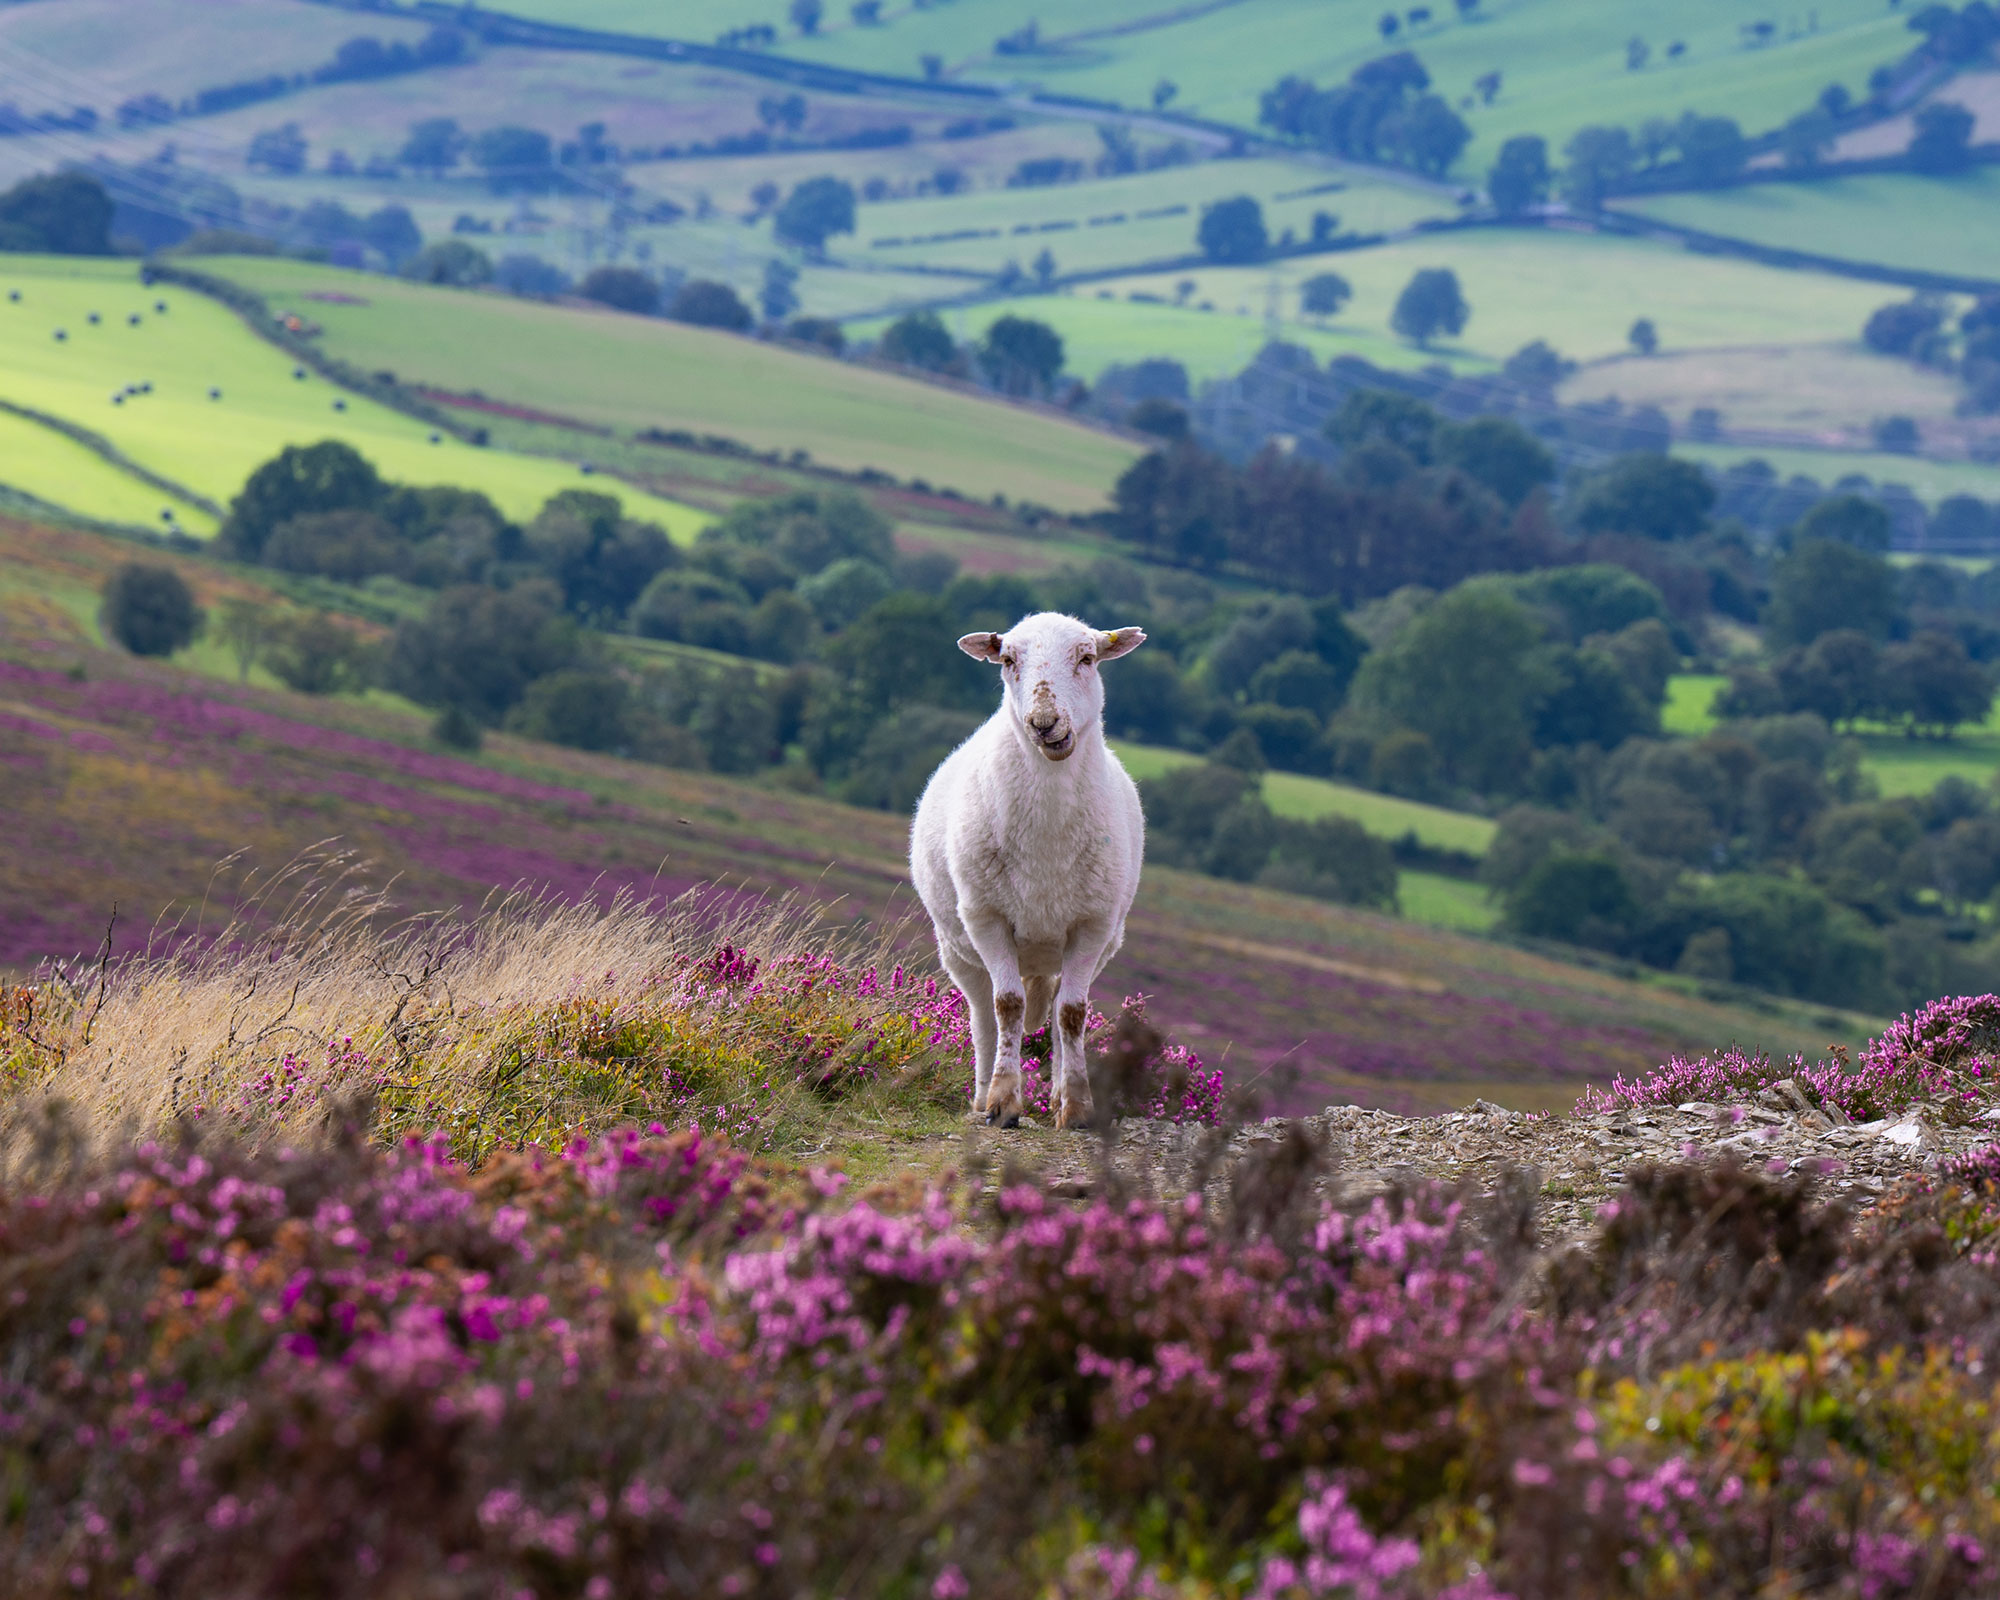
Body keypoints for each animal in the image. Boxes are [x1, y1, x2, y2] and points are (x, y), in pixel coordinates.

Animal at [910, 611, 1147, 1129]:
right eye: (1007, 660)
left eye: (1087, 658)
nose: (1044, 724)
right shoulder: (987, 919)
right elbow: (1008, 1006)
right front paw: (1003, 1102)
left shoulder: (1092, 925)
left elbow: (1073, 1014)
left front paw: (1076, 1107)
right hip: (959, 950)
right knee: (982, 1013)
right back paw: (981, 1096)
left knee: (1058, 1011)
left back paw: (1057, 1095)